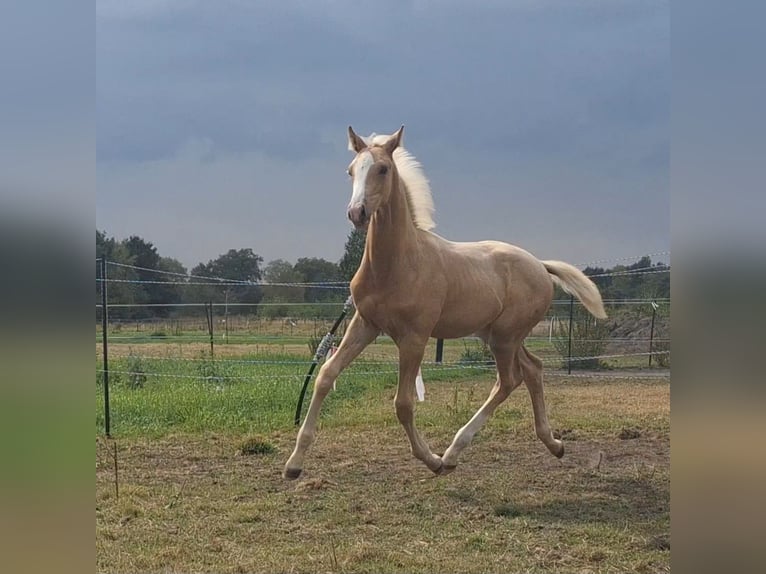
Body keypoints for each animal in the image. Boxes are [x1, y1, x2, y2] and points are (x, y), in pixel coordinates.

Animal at [283, 126, 606, 479]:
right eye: (351, 170)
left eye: (383, 169)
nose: (357, 213)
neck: (397, 264)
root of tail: (540, 265)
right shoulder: (365, 324)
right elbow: (326, 375)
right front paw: (294, 463)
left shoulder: (414, 337)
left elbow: (403, 403)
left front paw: (431, 460)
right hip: (498, 334)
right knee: (532, 370)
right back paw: (553, 444)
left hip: (505, 338)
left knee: (509, 381)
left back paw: (452, 454)